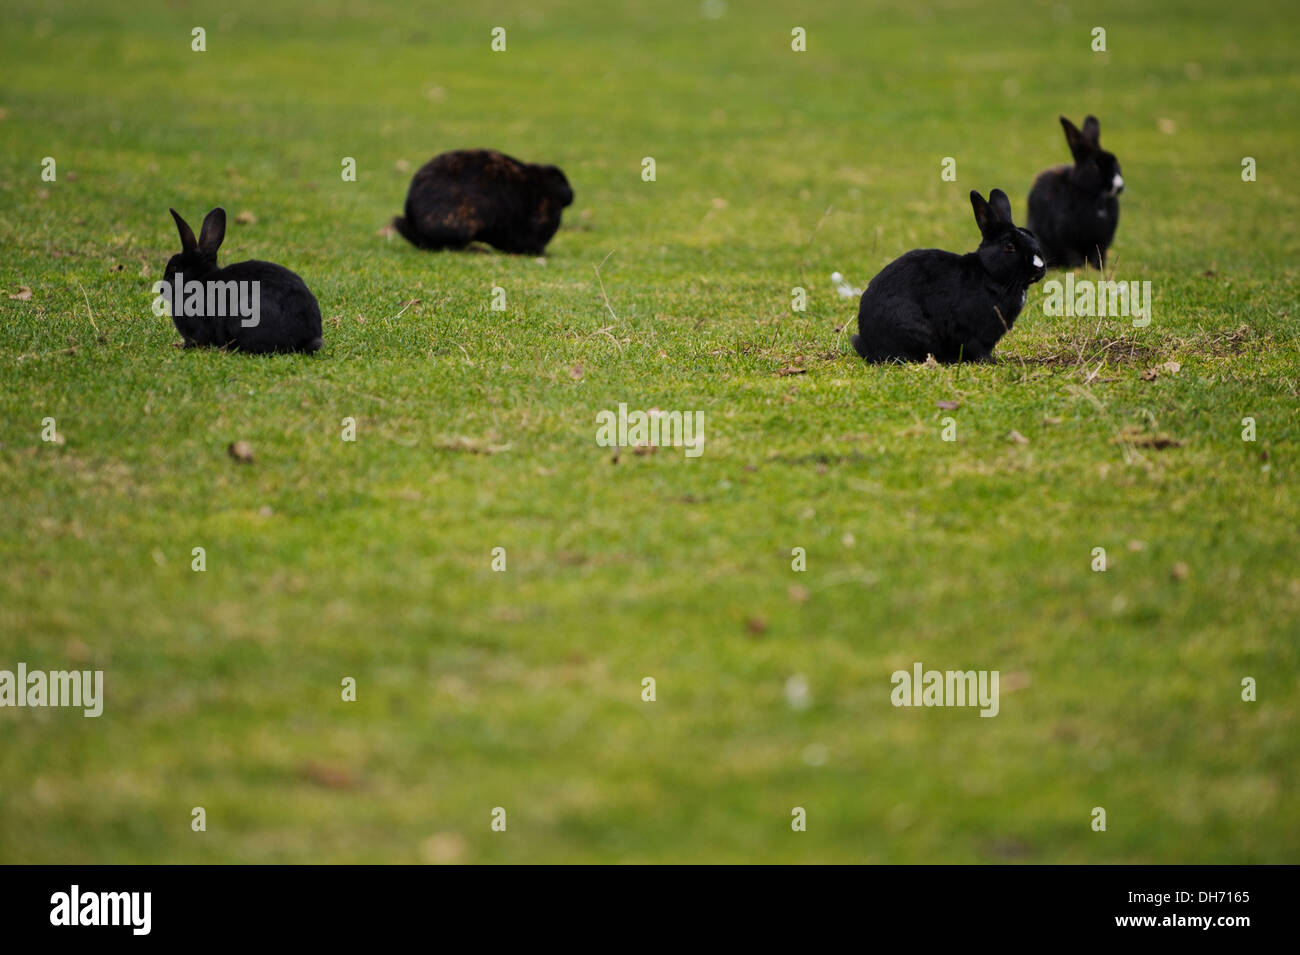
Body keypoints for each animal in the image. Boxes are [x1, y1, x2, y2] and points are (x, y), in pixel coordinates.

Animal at [852, 189, 1047, 364]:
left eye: (1033, 238)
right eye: (1009, 246)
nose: (1039, 267)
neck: (990, 274)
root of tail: (867, 343)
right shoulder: (971, 331)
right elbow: (977, 348)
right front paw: (991, 362)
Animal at [1026, 115, 1123, 268]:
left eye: (1116, 163)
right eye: (1094, 165)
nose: (1118, 186)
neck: (1095, 198)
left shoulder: (1102, 241)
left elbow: (1098, 254)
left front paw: (1097, 268)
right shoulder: (1066, 237)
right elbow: (1072, 253)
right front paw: (1079, 268)